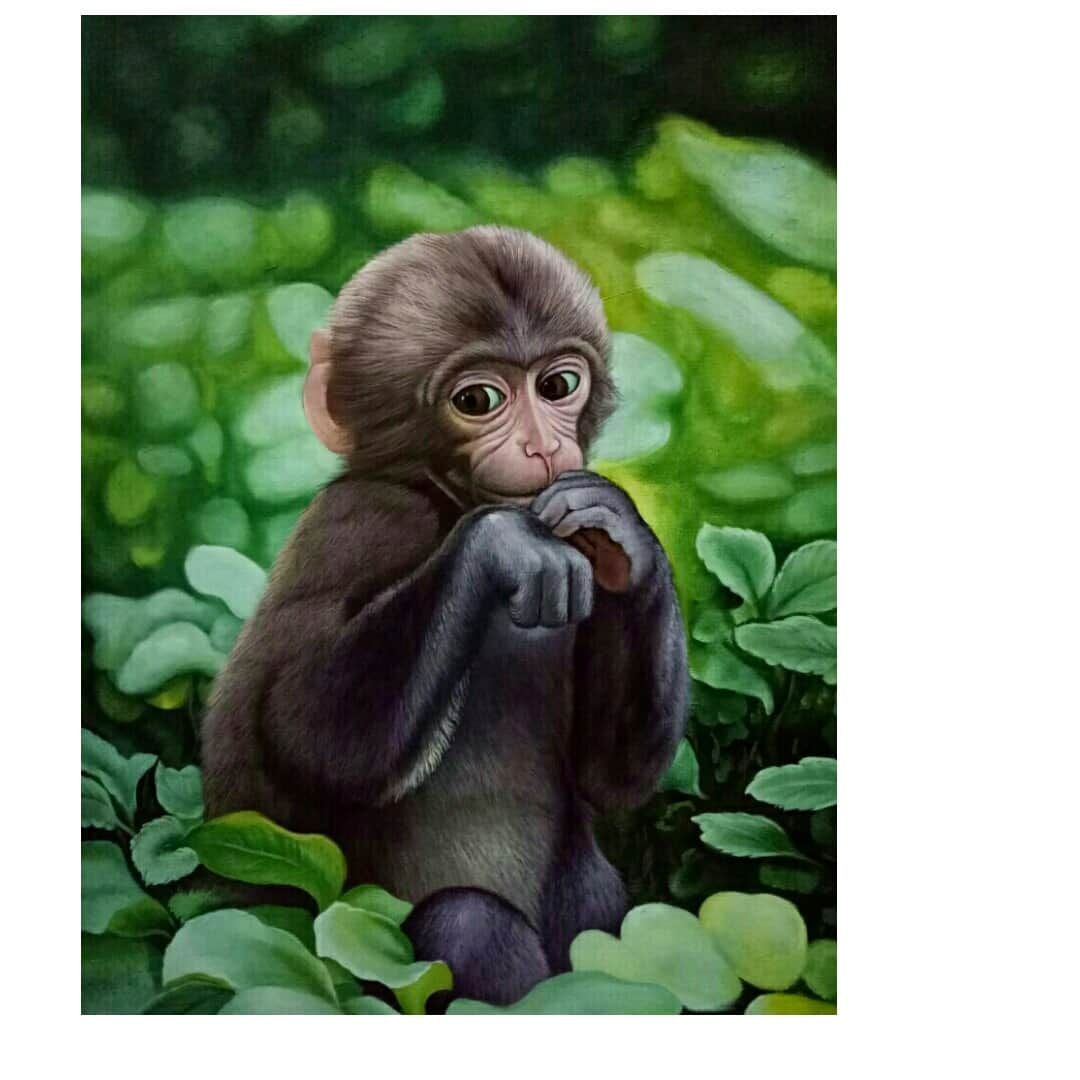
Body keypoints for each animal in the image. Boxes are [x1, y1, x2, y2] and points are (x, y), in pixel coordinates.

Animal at [200, 225, 689, 1007]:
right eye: (478, 398)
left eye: (558, 386)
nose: (541, 445)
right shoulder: (363, 521)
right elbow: (301, 733)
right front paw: (499, 544)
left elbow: (607, 778)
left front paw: (627, 539)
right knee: (466, 923)